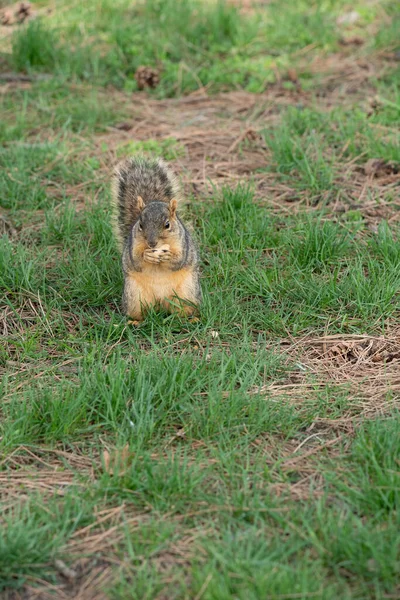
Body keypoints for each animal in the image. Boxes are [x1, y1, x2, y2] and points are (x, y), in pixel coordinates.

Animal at [111, 157, 200, 322]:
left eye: (167, 225)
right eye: (140, 225)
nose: (151, 243)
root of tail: (161, 302)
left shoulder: (182, 244)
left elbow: (179, 260)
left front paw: (168, 256)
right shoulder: (133, 245)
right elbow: (136, 260)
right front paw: (146, 255)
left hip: (187, 293)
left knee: (183, 310)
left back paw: (190, 319)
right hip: (135, 297)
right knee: (140, 312)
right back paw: (134, 322)